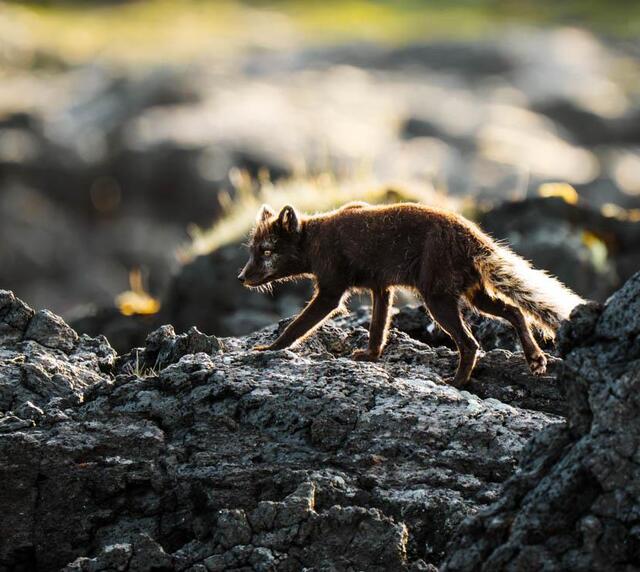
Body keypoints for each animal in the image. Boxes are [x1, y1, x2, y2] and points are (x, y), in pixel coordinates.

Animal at [238, 202, 584, 387]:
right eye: (252, 250)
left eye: (267, 251)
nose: (241, 277)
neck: (314, 240)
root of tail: (475, 237)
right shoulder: (382, 287)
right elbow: (378, 327)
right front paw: (370, 356)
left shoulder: (331, 290)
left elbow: (299, 325)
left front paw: (269, 348)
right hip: (474, 294)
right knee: (515, 311)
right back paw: (536, 360)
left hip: (437, 298)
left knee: (471, 342)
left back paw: (456, 382)